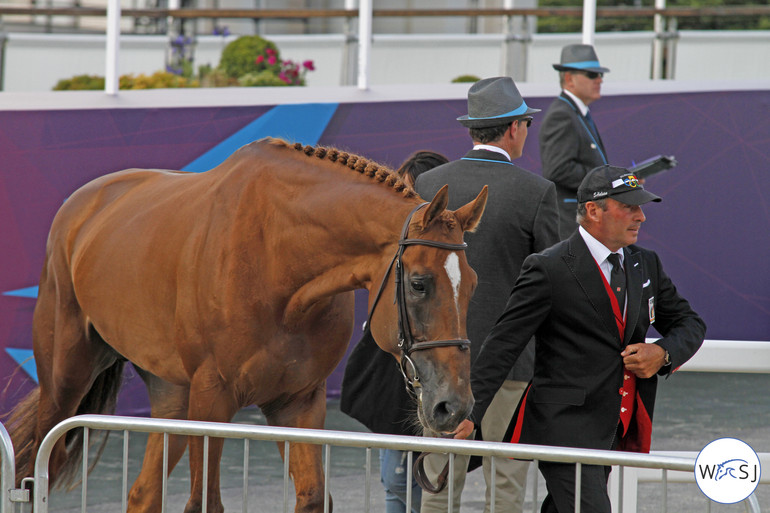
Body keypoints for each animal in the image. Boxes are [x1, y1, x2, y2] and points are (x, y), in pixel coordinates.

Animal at [7, 137, 486, 512]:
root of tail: (83, 205)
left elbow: (314, 497)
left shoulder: (297, 403)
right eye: (420, 284)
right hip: (66, 380)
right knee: (36, 467)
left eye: (473, 285)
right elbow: (204, 502)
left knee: (143, 494)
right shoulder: (212, 402)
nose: (454, 406)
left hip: (172, 397)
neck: (277, 262)